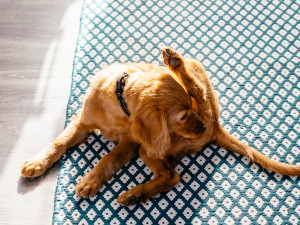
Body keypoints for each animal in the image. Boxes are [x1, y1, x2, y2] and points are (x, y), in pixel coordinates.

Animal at [22, 47, 300, 206]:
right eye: (183, 116)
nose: (200, 128)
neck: (118, 99)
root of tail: (215, 127)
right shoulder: (81, 121)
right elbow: (60, 141)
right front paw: (37, 162)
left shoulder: (130, 143)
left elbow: (107, 159)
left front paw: (90, 180)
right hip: (153, 147)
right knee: (170, 174)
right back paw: (135, 195)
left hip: (156, 139)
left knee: (197, 96)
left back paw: (176, 63)